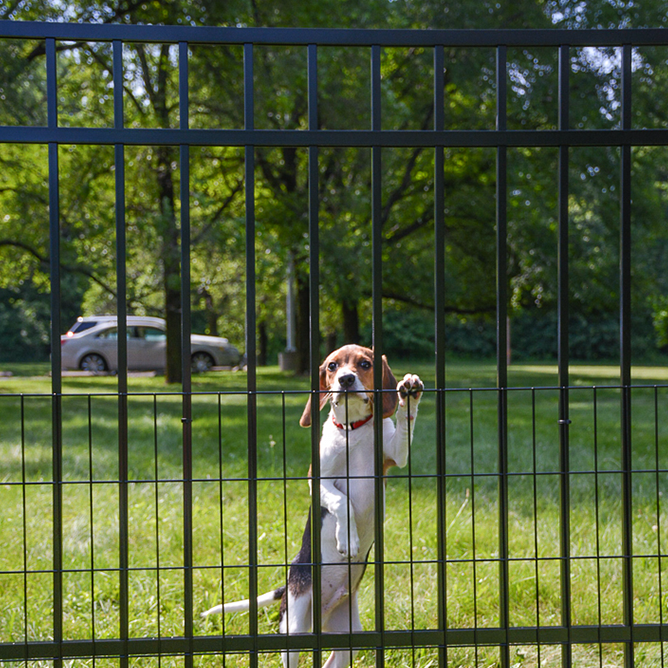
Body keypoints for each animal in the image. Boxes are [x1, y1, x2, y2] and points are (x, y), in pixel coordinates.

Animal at [202, 348, 422, 664]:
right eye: (332, 366)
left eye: (365, 364)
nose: (345, 379)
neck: (352, 430)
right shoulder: (316, 480)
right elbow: (343, 501)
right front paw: (348, 540)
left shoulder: (394, 454)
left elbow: (405, 427)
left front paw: (410, 392)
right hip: (294, 626)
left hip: (348, 637)